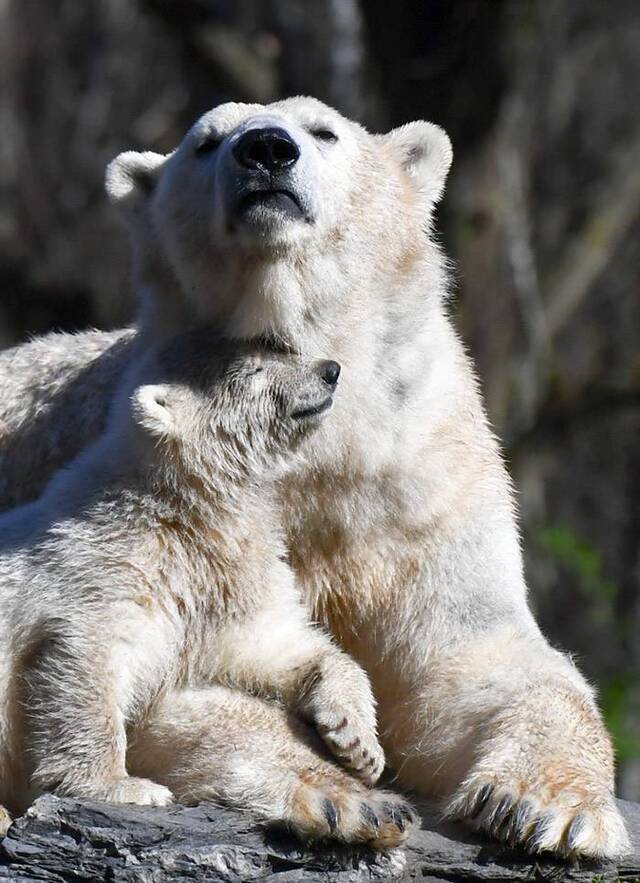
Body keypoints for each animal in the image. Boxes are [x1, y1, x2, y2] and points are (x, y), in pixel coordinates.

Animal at [0, 330, 416, 848]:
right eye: (254, 371)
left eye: (280, 352)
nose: (330, 370)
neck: (178, 507)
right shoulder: (110, 565)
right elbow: (87, 660)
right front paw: (122, 786)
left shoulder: (230, 577)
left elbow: (275, 645)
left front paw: (359, 745)